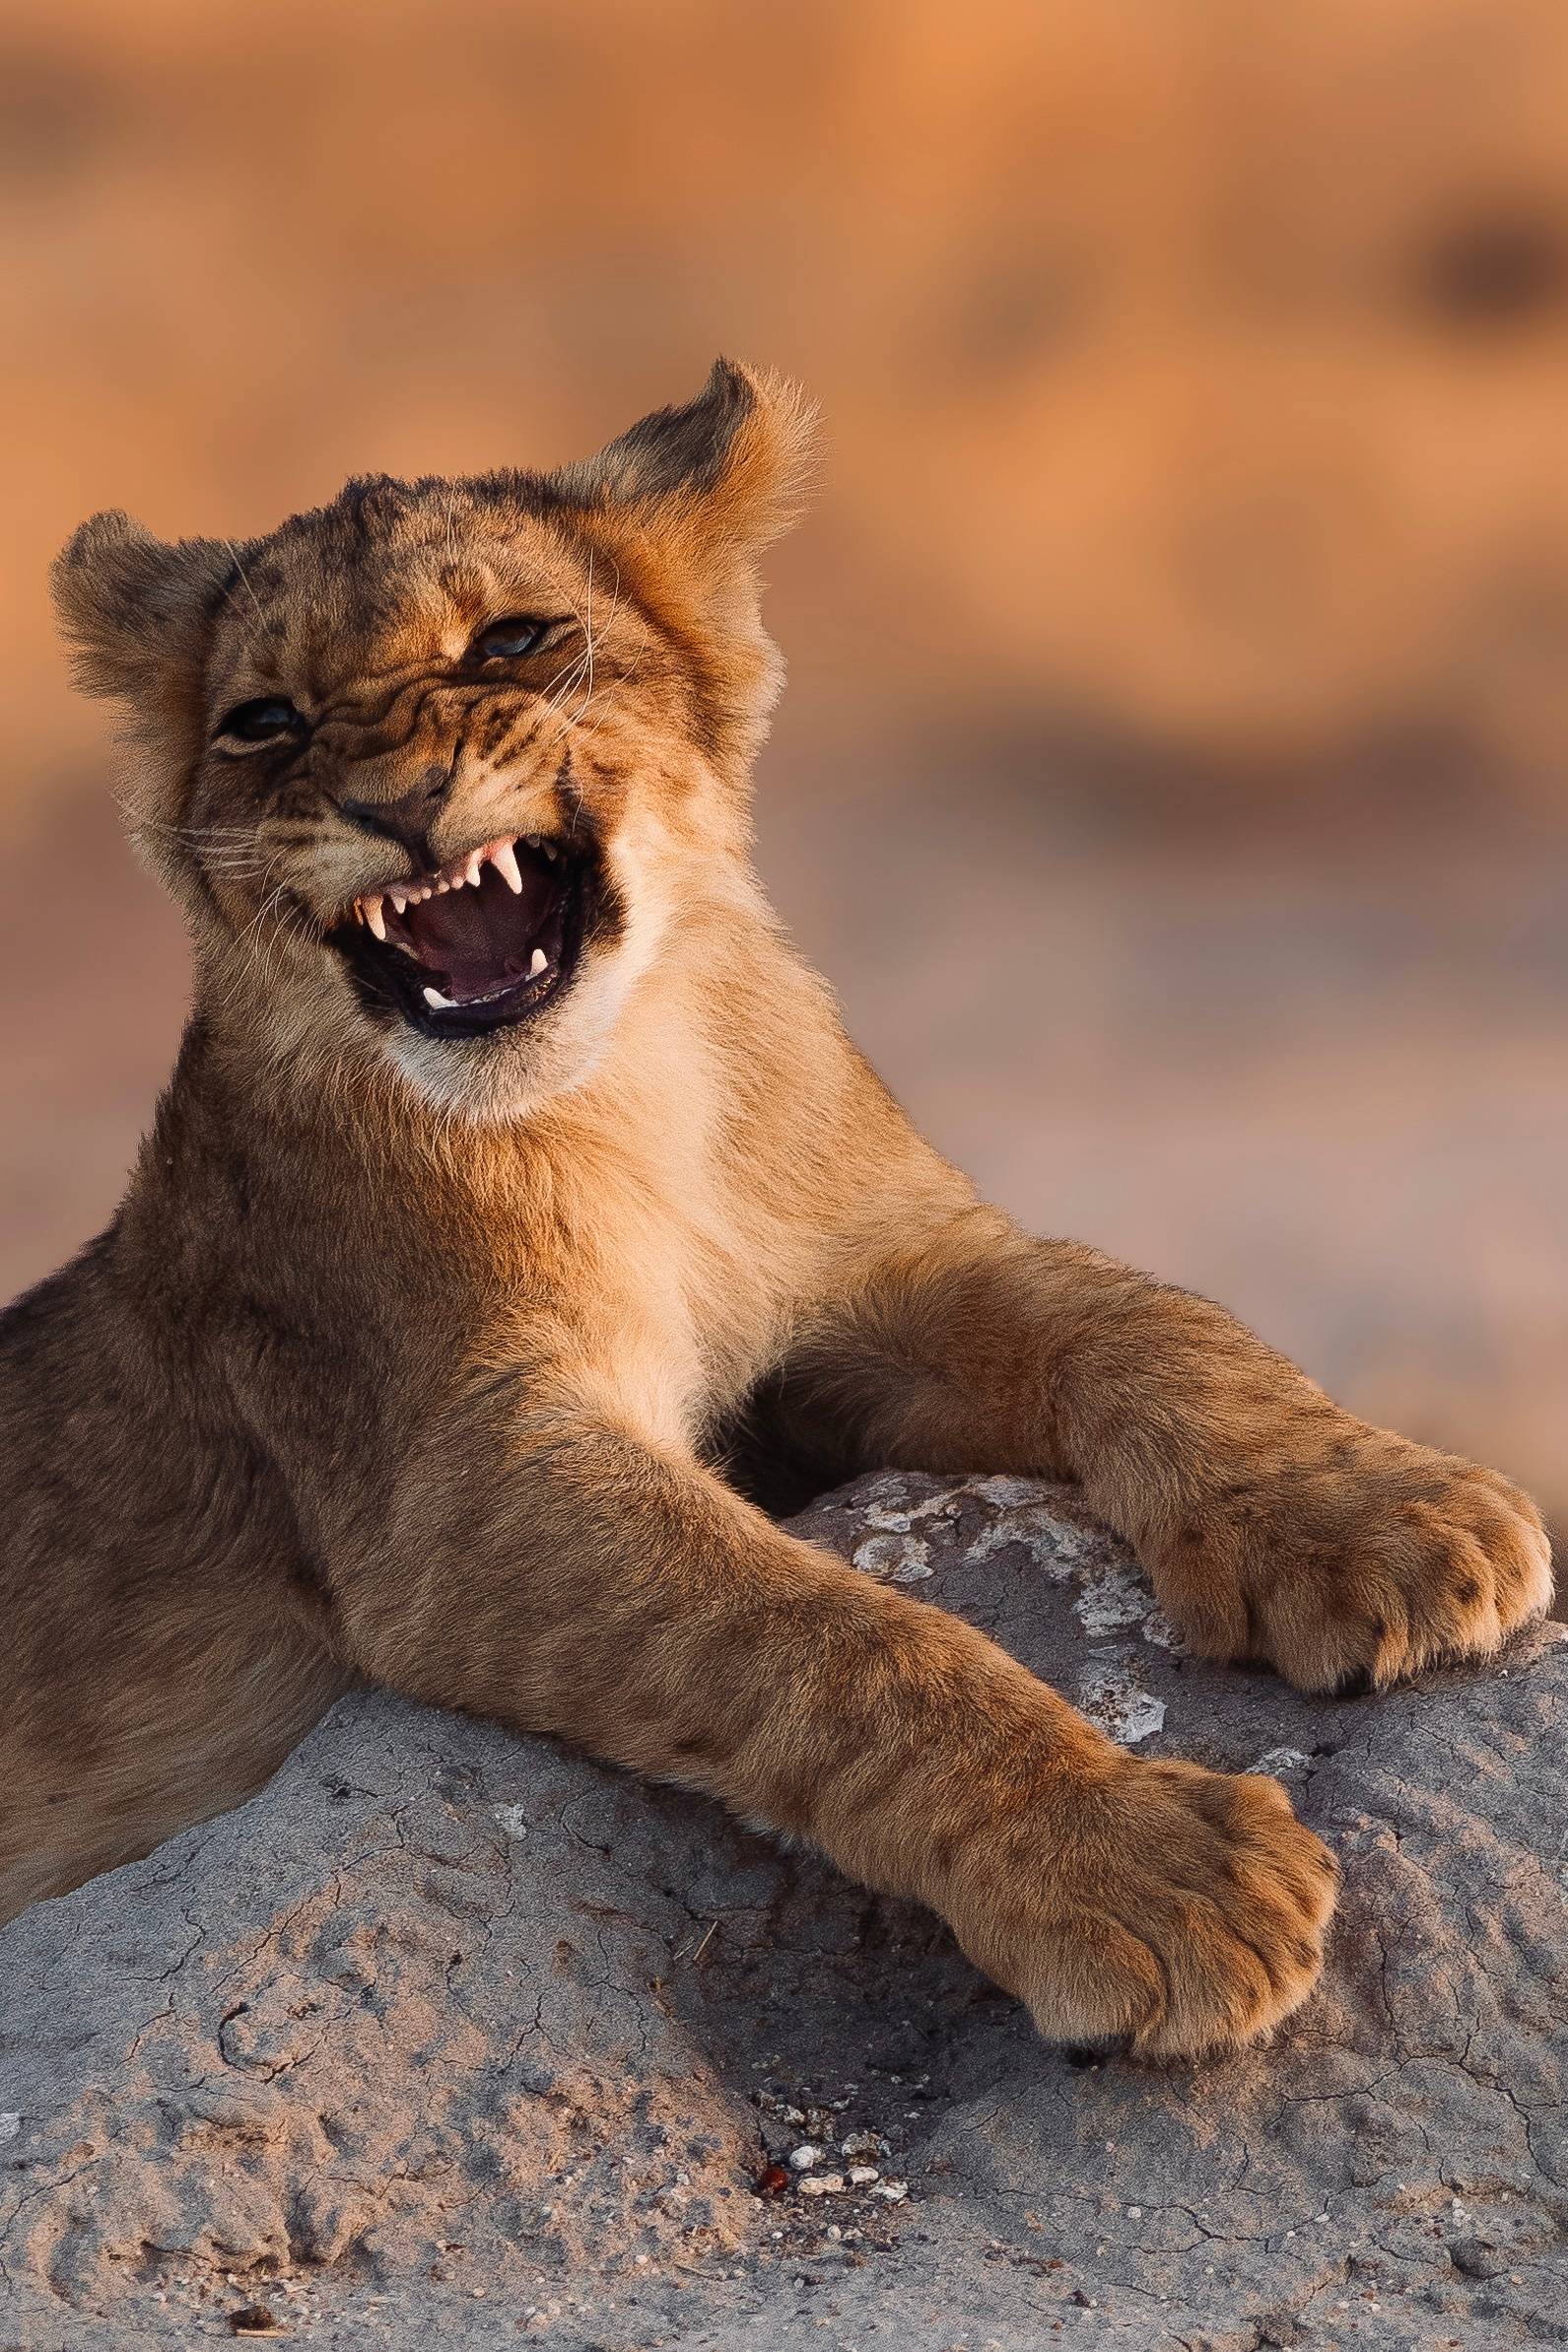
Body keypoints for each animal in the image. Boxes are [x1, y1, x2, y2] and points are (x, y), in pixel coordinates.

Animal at [3, 361, 1549, 2058]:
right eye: (262, 723)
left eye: (514, 640)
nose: (393, 798)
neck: (627, 1088)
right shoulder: (450, 1479)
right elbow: (830, 1638)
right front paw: (1145, 1866)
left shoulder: (878, 1284)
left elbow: (1144, 1316)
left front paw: (1384, 1520)